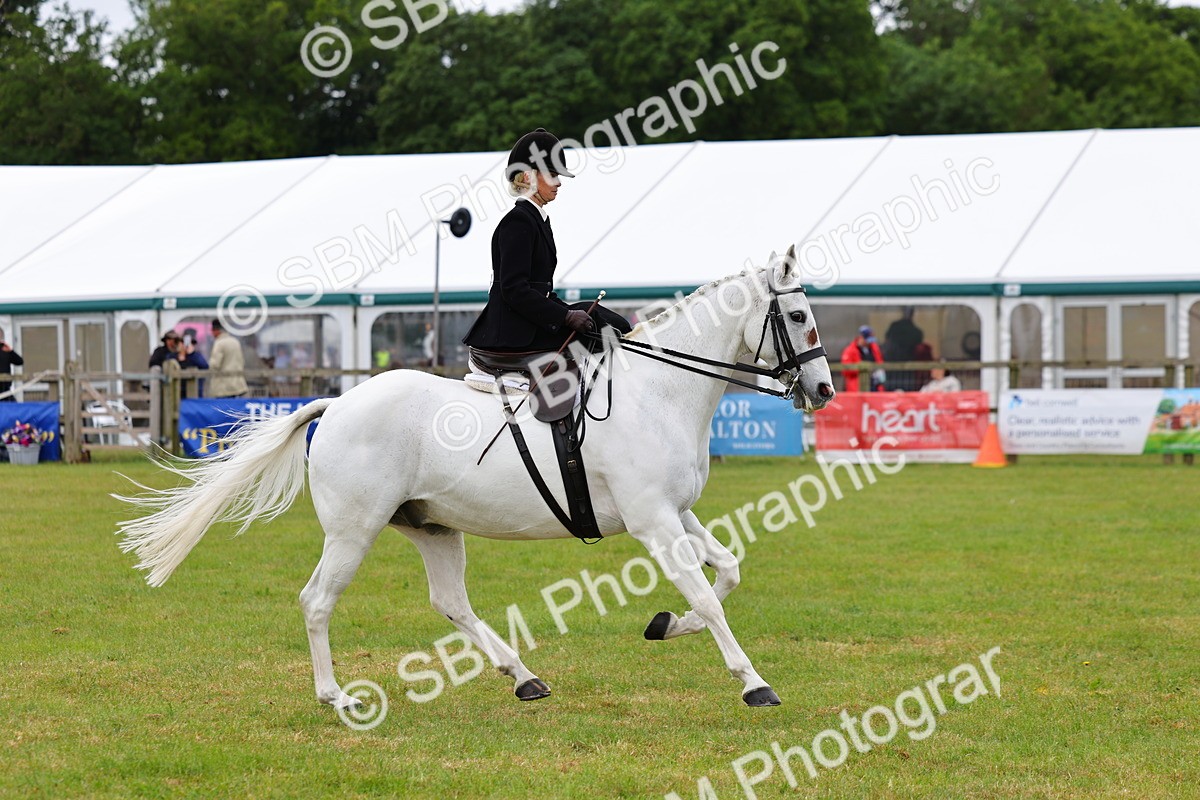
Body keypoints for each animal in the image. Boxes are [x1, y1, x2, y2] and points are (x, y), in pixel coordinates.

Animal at [116, 247, 836, 710]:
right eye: (800, 317)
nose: (825, 391)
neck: (656, 393)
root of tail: (337, 404)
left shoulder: (677, 512)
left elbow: (727, 572)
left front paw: (664, 624)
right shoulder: (653, 521)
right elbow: (712, 598)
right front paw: (753, 683)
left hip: (432, 527)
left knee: (451, 602)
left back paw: (523, 677)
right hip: (354, 531)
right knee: (318, 600)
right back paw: (333, 695)